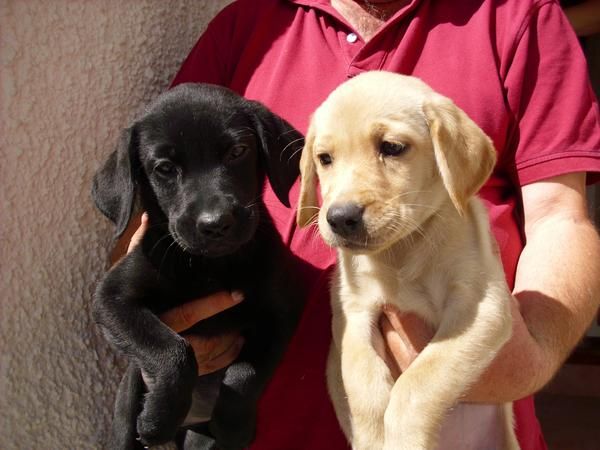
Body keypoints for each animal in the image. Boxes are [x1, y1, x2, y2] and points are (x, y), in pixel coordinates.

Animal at [91, 82, 308, 448]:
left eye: (237, 151)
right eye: (164, 168)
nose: (215, 223)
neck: (209, 266)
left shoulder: (282, 312)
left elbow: (245, 375)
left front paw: (233, 425)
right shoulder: (112, 298)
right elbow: (172, 351)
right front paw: (157, 420)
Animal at [298, 72, 516, 450]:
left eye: (392, 147)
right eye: (324, 158)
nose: (340, 218)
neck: (401, 251)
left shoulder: (479, 308)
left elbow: (418, 382)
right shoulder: (354, 315)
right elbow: (365, 387)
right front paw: (372, 438)